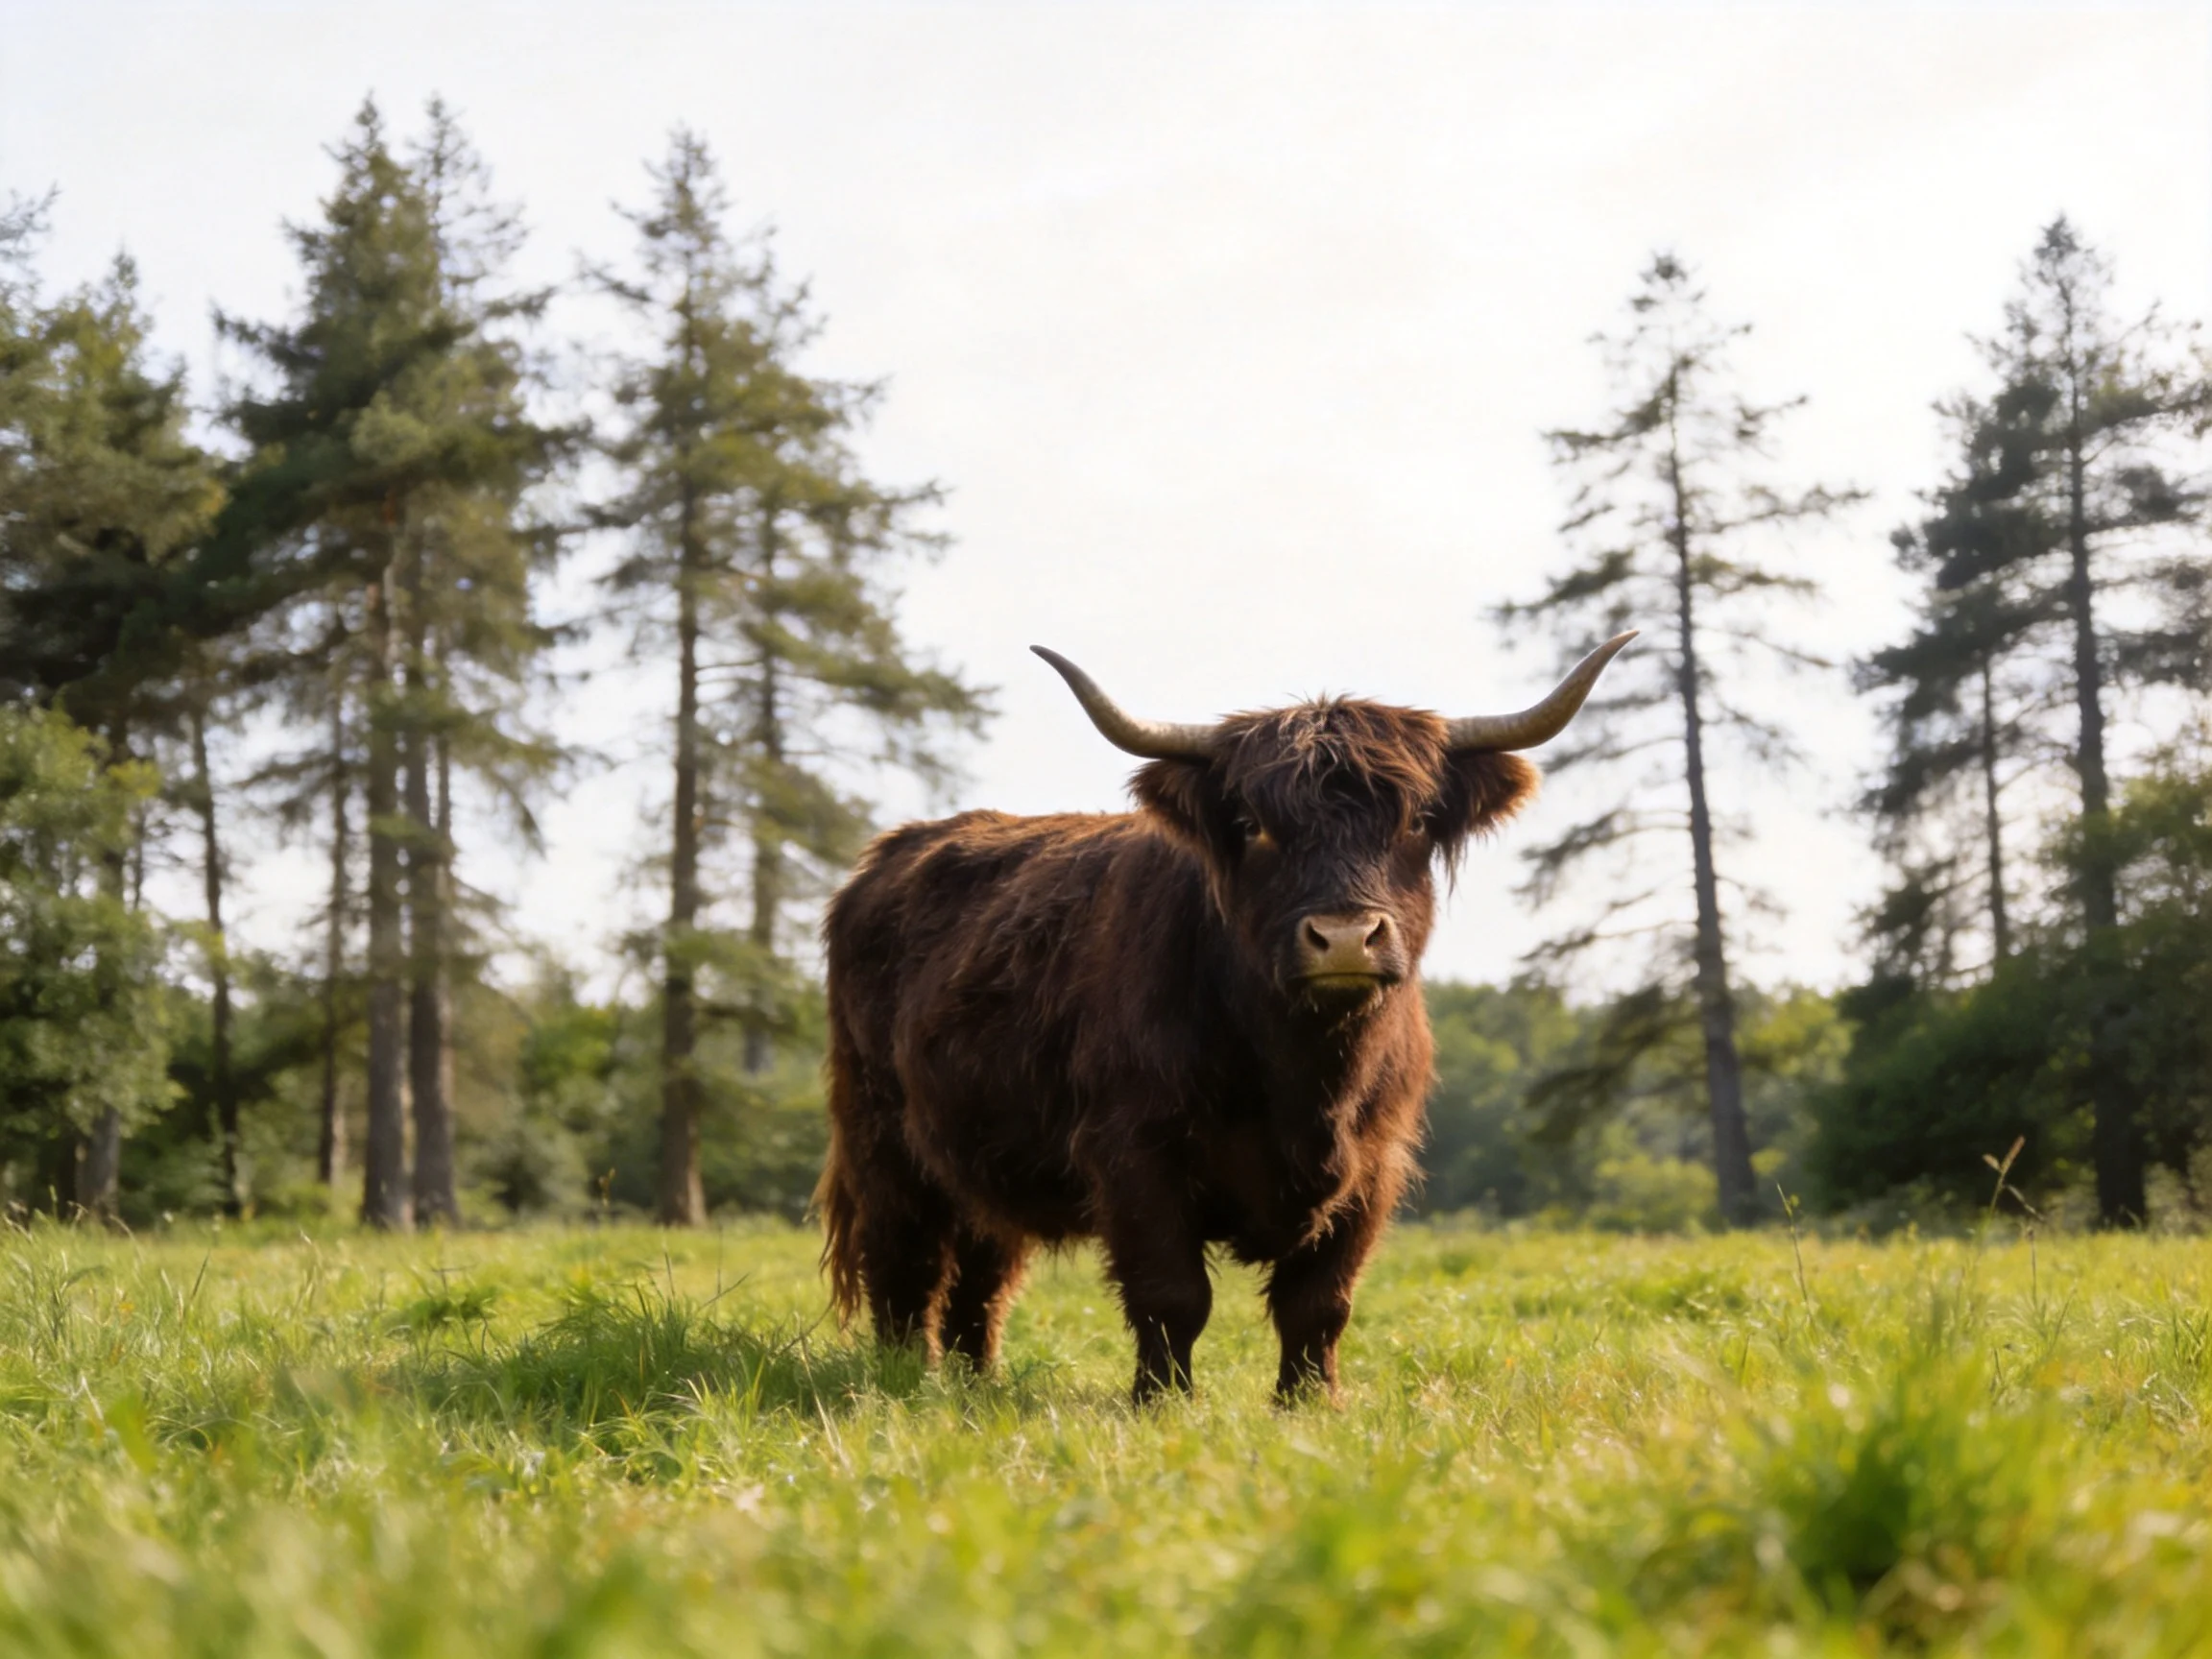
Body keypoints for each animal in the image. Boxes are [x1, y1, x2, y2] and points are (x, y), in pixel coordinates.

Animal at [815, 634, 1634, 1403]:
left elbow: (1320, 1302)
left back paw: (974, 1383)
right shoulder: (1135, 1152)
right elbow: (1172, 1295)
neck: (1304, 1075)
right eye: (1254, 824)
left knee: (982, 1277)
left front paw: (1309, 1406)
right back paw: (900, 1381)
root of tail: (887, 855)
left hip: (983, 1153)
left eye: (1416, 821)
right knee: (905, 1263)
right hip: (882, 1137)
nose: (1344, 937)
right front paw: (1162, 1403)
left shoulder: (1375, 1166)